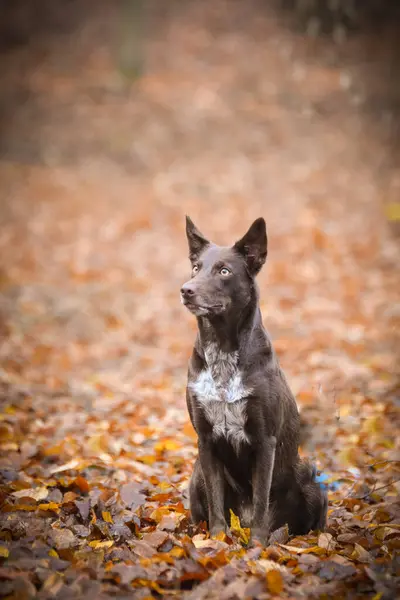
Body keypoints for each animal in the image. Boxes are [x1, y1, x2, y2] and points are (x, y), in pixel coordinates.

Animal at [181, 216, 328, 544]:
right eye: (195, 267)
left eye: (224, 271)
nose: (186, 290)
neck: (222, 352)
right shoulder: (205, 441)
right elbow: (216, 502)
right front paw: (217, 541)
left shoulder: (265, 441)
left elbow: (261, 499)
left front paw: (257, 546)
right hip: (194, 475)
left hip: (310, 477)